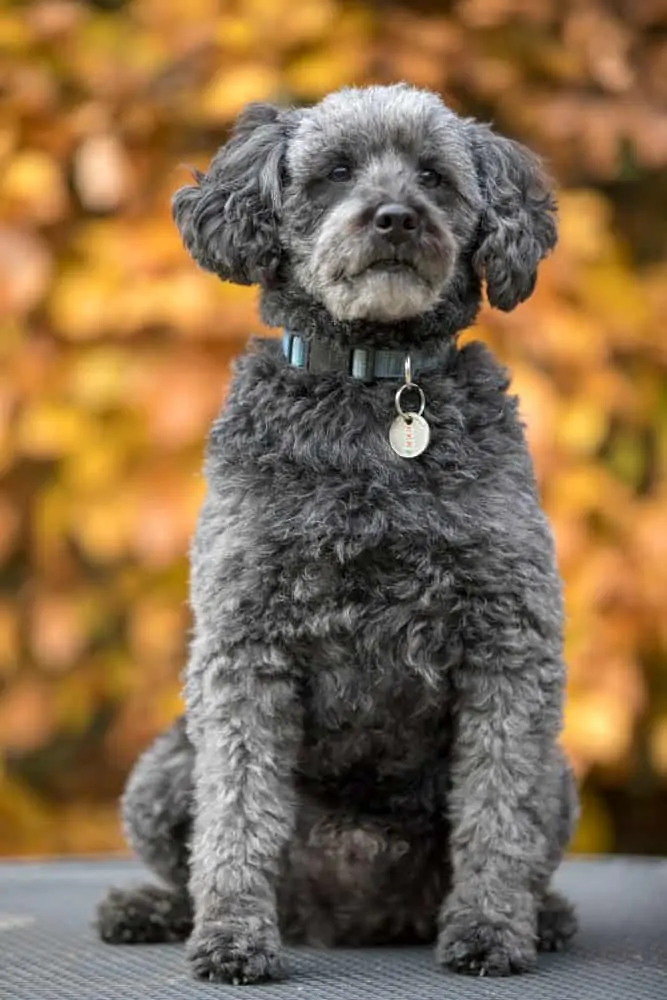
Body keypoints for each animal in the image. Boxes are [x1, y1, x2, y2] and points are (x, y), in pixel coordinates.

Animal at [98, 84, 580, 984]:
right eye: (333, 172)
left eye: (432, 175)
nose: (393, 218)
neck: (371, 388)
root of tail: (351, 914)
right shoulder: (244, 646)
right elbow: (235, 810)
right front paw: (232, 937)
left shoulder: (510, 643)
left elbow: (498, 813)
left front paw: (490, 930)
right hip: (162, 767)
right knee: (186, 855)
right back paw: (153, 909)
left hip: (559, 772)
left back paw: (544, 916)